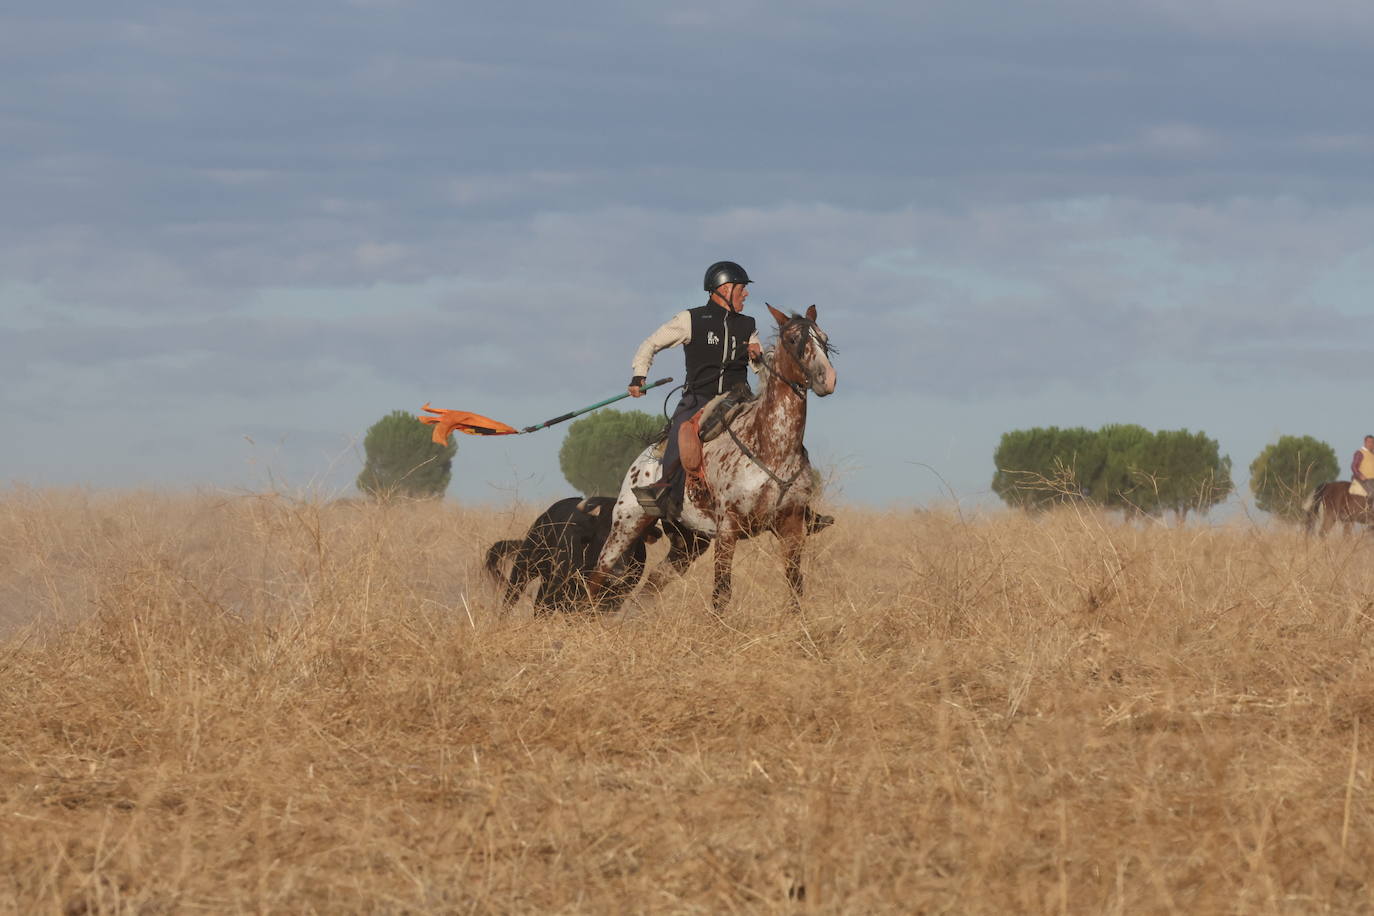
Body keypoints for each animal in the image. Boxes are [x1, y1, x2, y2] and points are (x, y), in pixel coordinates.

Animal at [590, 304, 835, 612]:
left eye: (824, 339)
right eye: (793, 340)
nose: (828, 379)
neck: (773, 447)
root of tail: (642, 461)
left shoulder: (791, 526)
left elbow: (795, 588)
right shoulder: (728, 529)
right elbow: (721, 593)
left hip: (688, 542)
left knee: (650, 586)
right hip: (626, 525)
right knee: (597, 577)